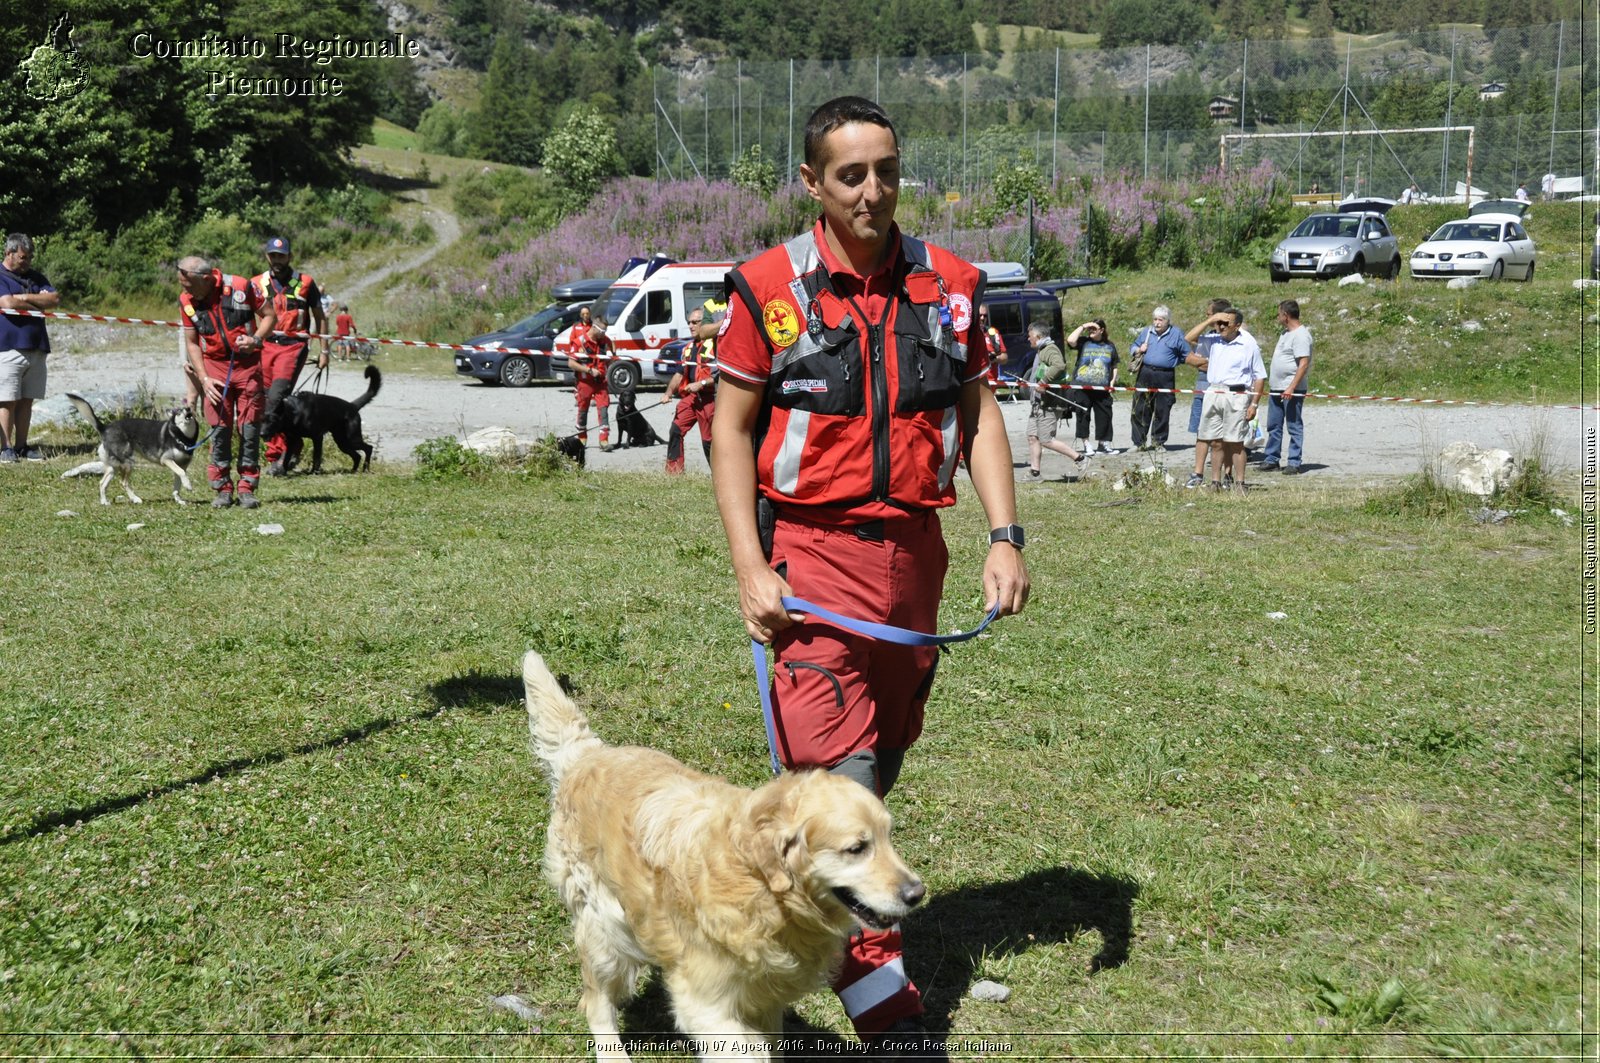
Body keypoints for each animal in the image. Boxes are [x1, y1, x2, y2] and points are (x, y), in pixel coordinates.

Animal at [64, 393, 200, 505]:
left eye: (187, 408)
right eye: (179, 412)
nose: (188, 409)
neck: (182, 438)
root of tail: (105, 428)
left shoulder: (182, 464)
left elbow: (178, 483)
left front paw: (179, 499)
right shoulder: (166, 460)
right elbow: (182, 473)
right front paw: (188, 485)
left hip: (112, 467)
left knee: (102, 483)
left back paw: (104, 502)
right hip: (128, 463)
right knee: (123, 482)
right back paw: (135, 499)